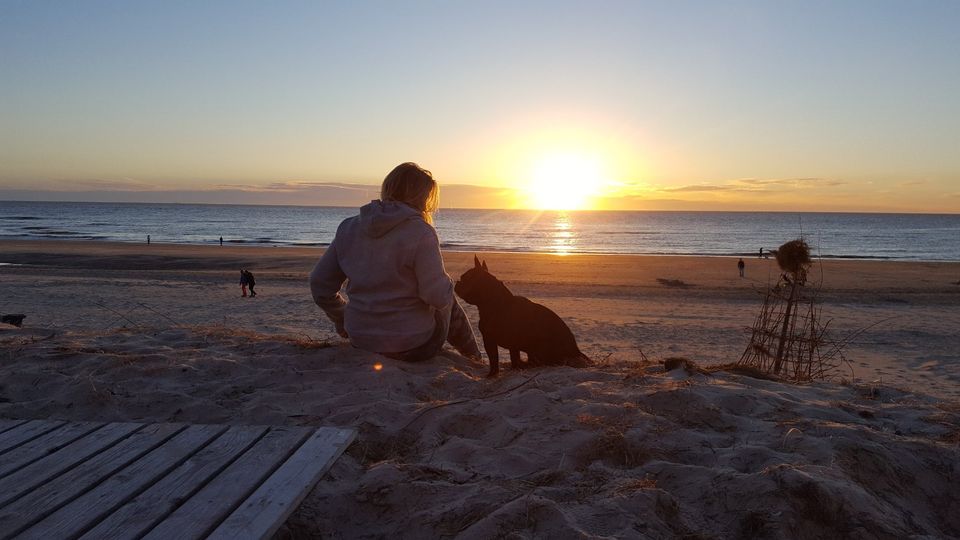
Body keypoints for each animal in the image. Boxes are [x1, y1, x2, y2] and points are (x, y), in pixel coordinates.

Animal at [454, 256, 588, 376]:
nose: (457, 282)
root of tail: (575, 350)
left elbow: (494, 360)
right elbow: (512, 358)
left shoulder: (490, 340)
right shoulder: (511, 345)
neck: (497, 303)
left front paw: (492, 374)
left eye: (464, 278)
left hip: (540, 347)